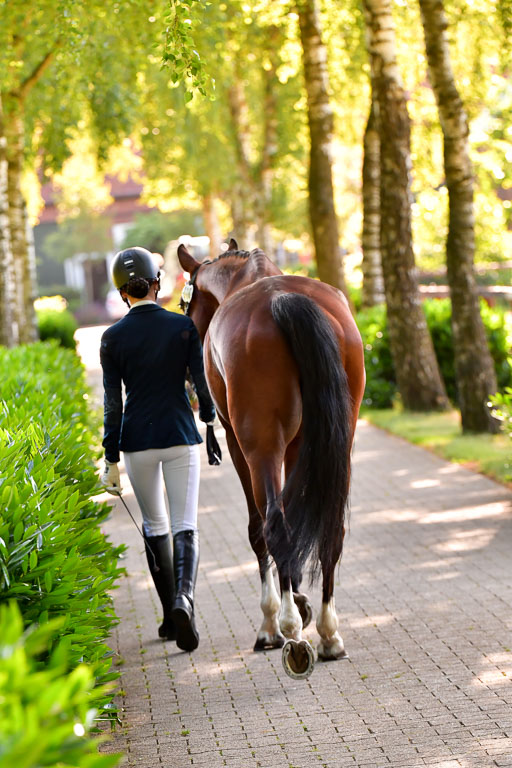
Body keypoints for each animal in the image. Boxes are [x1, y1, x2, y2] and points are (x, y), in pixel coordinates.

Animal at [177, 239, 365, 679]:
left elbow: (259, 527)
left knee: (274, 525)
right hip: (339, 438)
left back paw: (290, 633)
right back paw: (329, 634)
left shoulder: (237, 444)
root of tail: (282, 301)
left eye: (184, 305)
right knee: (331, 529)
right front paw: (300, 598)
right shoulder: (299, 446)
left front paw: (275, 619)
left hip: (258, 445)